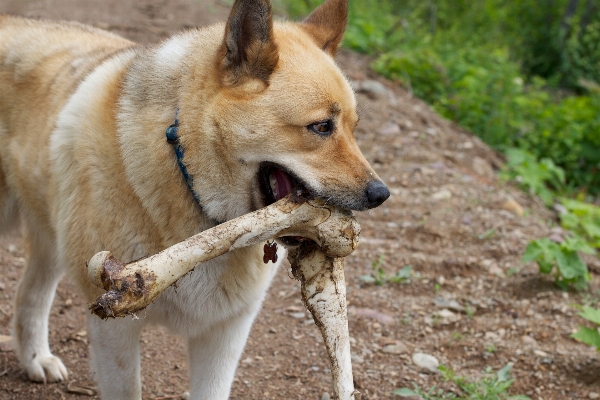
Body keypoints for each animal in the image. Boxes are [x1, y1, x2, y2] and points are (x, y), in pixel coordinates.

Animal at [0, 0, 390, 396]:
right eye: (321, 127)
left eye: (354, 129)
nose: (381, 194)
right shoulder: (115, 328)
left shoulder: (226, 332)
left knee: (30, 293)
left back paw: (35, 359)